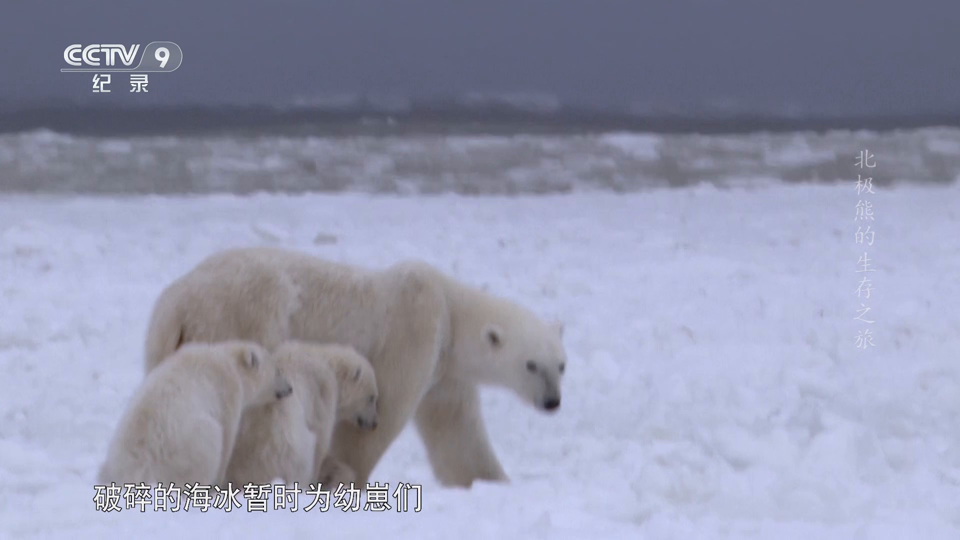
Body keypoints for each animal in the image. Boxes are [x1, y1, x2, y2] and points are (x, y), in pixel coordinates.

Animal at [98, 342, 294, 490]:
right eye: (277, 371)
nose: (290, 388)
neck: (228, 360)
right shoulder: (227, 392)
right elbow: (227, 437)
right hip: (190, 446)